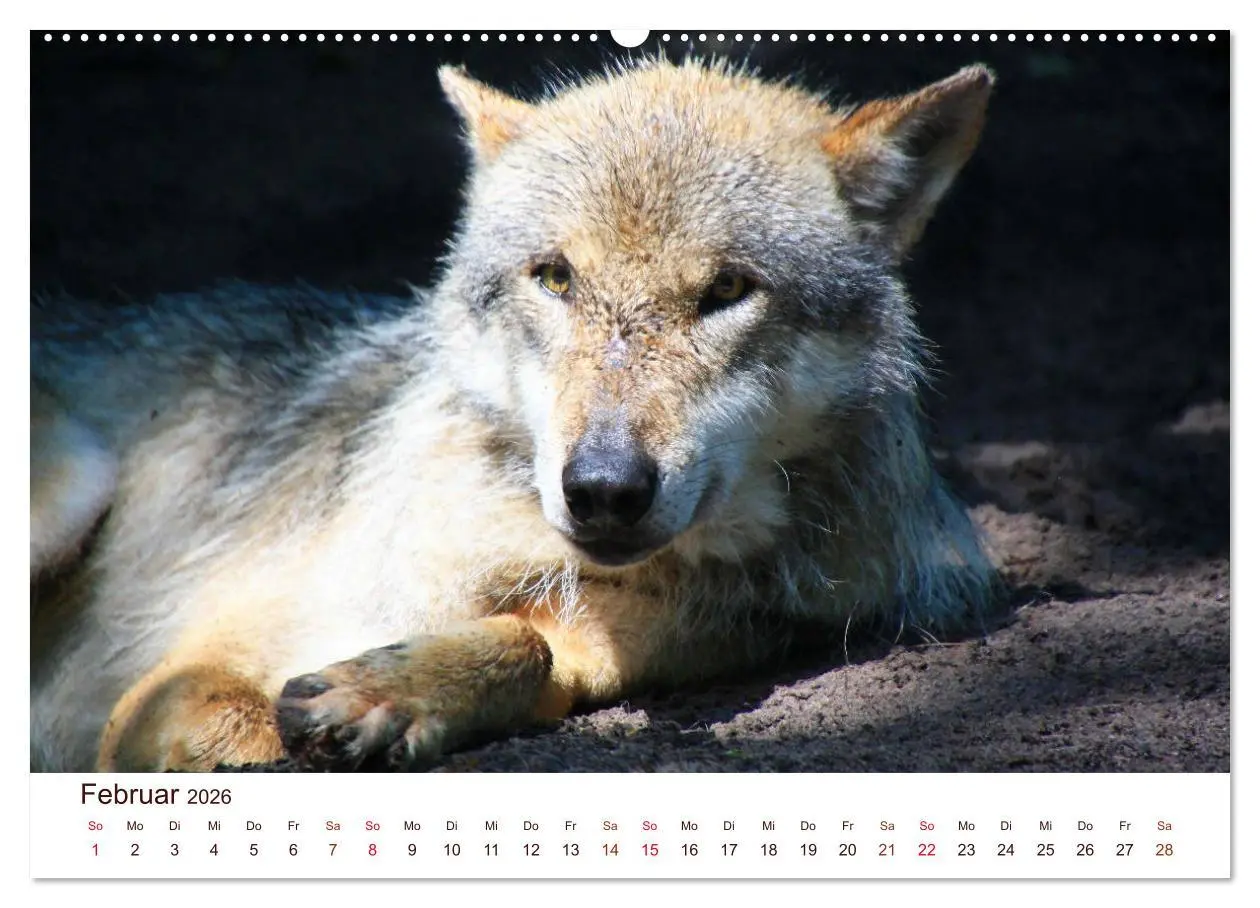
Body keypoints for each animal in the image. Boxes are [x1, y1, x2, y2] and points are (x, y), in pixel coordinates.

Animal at [31, 58, 999, 772]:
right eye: (556, 277)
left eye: (727, 290)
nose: (604, 488)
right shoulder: (175, 680)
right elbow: (242, 727)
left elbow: (530, 649)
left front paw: (391, 694)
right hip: (76, 488)